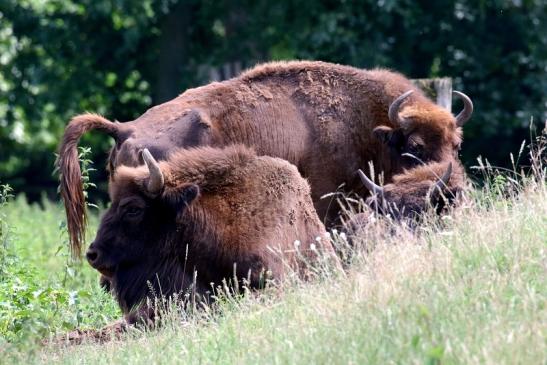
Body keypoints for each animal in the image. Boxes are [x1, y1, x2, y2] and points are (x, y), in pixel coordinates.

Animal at [57, 60, 474, 256]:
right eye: (415, 147)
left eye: (456, 144)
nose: (452, 186)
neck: (365, 122)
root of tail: (125, 128)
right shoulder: (330, 202)